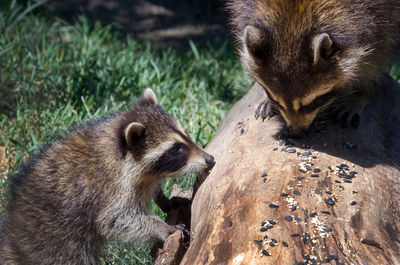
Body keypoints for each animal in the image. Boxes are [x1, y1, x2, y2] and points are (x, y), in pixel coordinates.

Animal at [0, 88, 216, 264]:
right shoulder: (110, 189)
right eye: (176, 149)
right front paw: (160, 227)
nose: (210, 158)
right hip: (56, 243)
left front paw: (165, 200)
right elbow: (116, 219)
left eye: (185, 135)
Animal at [228, 0, 400, 135]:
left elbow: (375, 52)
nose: (296, 133)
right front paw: (266, 99)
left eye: (310, 103)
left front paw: (360, 91)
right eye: (277, 100)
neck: (292, 25)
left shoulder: (372, 15)